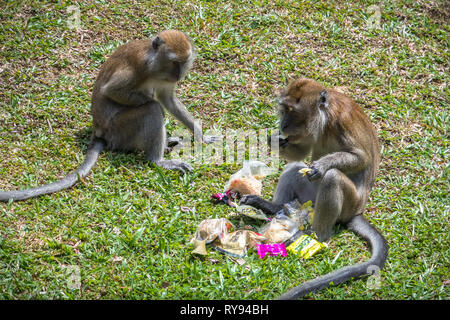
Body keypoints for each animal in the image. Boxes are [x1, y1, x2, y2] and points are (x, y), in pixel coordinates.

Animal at [0, 28, 216, 201]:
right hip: (120, 130)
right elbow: (113, 91)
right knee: (150, 109)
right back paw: (158, 161)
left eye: (184, 62)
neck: (154, 62)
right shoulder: (141, 68)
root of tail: (99, 133)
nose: (178, 75)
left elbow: (168, 100)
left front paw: (201, 136)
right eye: (174, 62)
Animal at [241, 79, 388, 298]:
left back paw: (315, 235)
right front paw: (274, 139)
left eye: (293, 112)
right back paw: (273, 207)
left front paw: (322, 165)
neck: (324, 122)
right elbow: (300, 153)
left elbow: (361, 158)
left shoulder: (342, 122)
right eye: (284, 110)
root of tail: (358, 211)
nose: (283, 125)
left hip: (349, 205)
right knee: (295, 168)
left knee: (332, 178)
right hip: (310, 195)